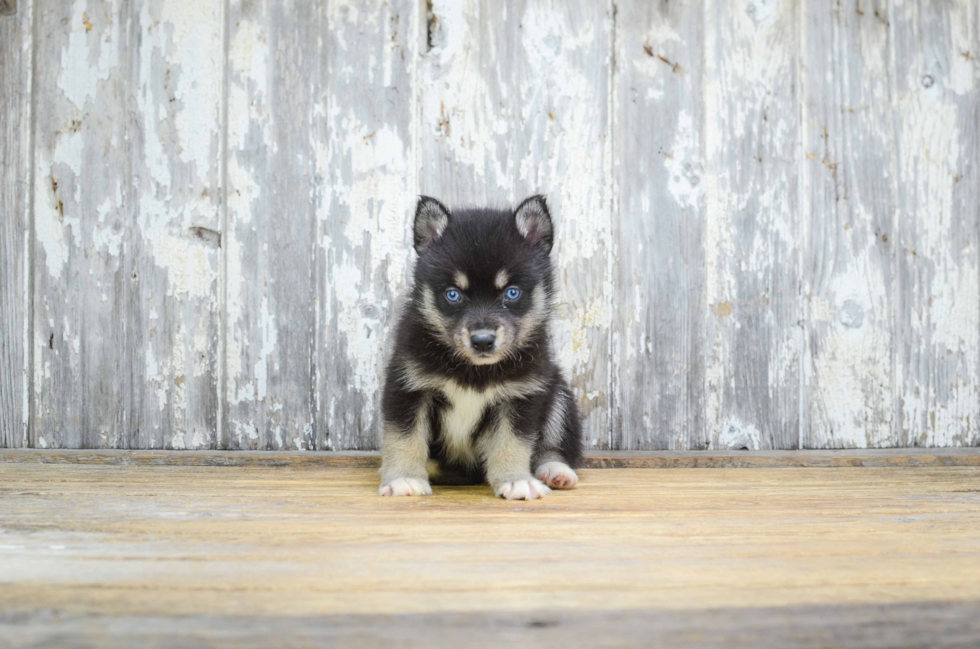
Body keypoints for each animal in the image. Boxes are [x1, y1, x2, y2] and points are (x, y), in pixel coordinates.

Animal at [378, 195, 580, 498]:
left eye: (512, 292)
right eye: (453, 294)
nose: (483, 341)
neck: (474, 371)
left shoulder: (521, 395)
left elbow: (513, 442)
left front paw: (515, 479)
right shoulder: (408, 388)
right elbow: (405, 438)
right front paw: (404, 478)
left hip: (558, 392)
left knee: (552, 446)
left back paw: (555, 471)